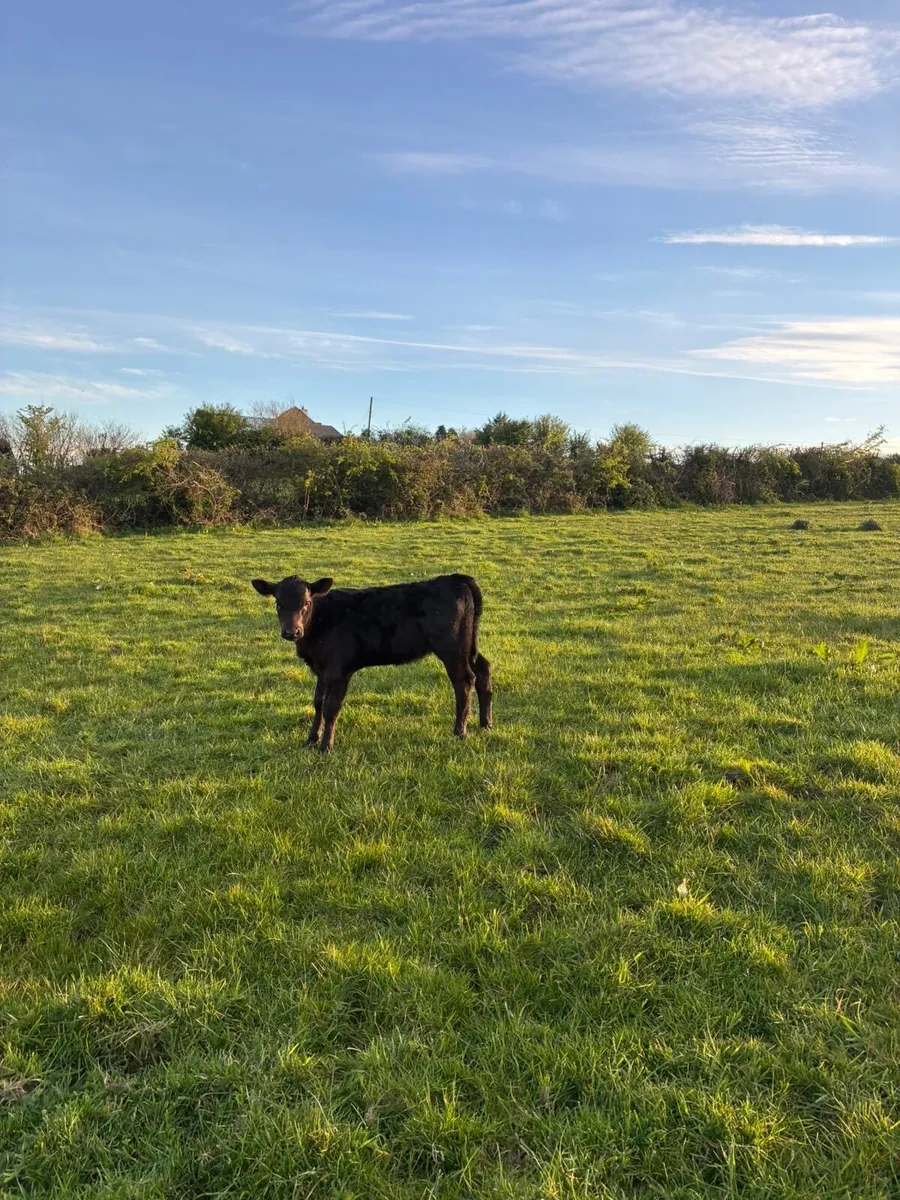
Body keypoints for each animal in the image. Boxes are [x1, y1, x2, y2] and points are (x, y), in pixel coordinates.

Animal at [251, 572, 493, 752]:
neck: (320, 621)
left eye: (307, 602)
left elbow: (331, 708)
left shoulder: (339, 670)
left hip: (452, 647)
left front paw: (326, 746)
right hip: (468, 645)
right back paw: (485, 723)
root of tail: (456, 579)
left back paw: (460, 731)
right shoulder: (321, 669)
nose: (292, 632)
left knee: (464, 681)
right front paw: (311, 739)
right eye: (279, 604)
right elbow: (318, 703)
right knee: (483, 669)